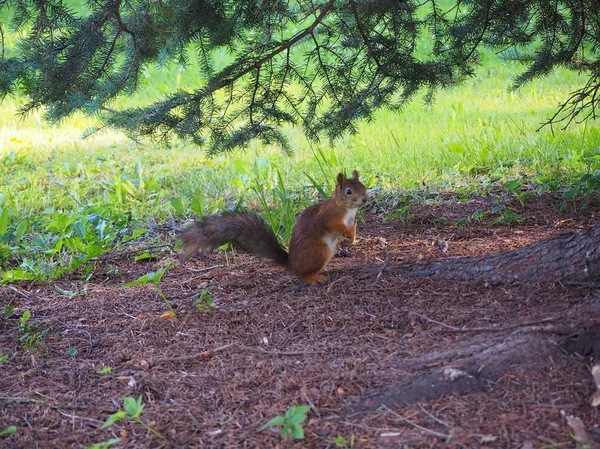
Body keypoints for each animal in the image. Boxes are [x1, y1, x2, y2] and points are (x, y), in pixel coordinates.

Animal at [180, 170, 368, 282]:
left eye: (363, 186)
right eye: (349, 191)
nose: (365, 199)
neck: (346, 209)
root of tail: (292, 265)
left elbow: (352, 228)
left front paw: (353, 236)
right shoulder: (329, 217)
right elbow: (335, 227)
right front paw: (347, 233)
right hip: (320, 251)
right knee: (302, 275)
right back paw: (314, 278)